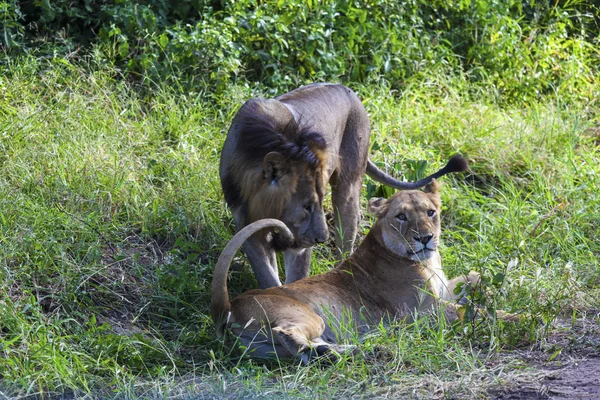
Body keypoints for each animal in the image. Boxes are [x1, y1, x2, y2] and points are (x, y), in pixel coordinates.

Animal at [211, 181, 516, 366]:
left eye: (431, 212)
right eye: (401, 217)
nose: (425, 238)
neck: (428, 262)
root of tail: (229, 306)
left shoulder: (441, 291)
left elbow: (473, 278)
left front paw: (500, 288)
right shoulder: (426, 313)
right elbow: (478, 312)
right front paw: (518, 316)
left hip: (266, 350)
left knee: (300, 352)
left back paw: (361, 349)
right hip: (308, 316)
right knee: (289, 334)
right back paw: (356, 350)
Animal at [220, 83, 468, 288]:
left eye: (318, 203)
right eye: (306, 206)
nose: (321, 239)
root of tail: (348, 90)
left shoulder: (301, 240)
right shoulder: (248, 227)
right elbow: (267, 276)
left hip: (348, 189)